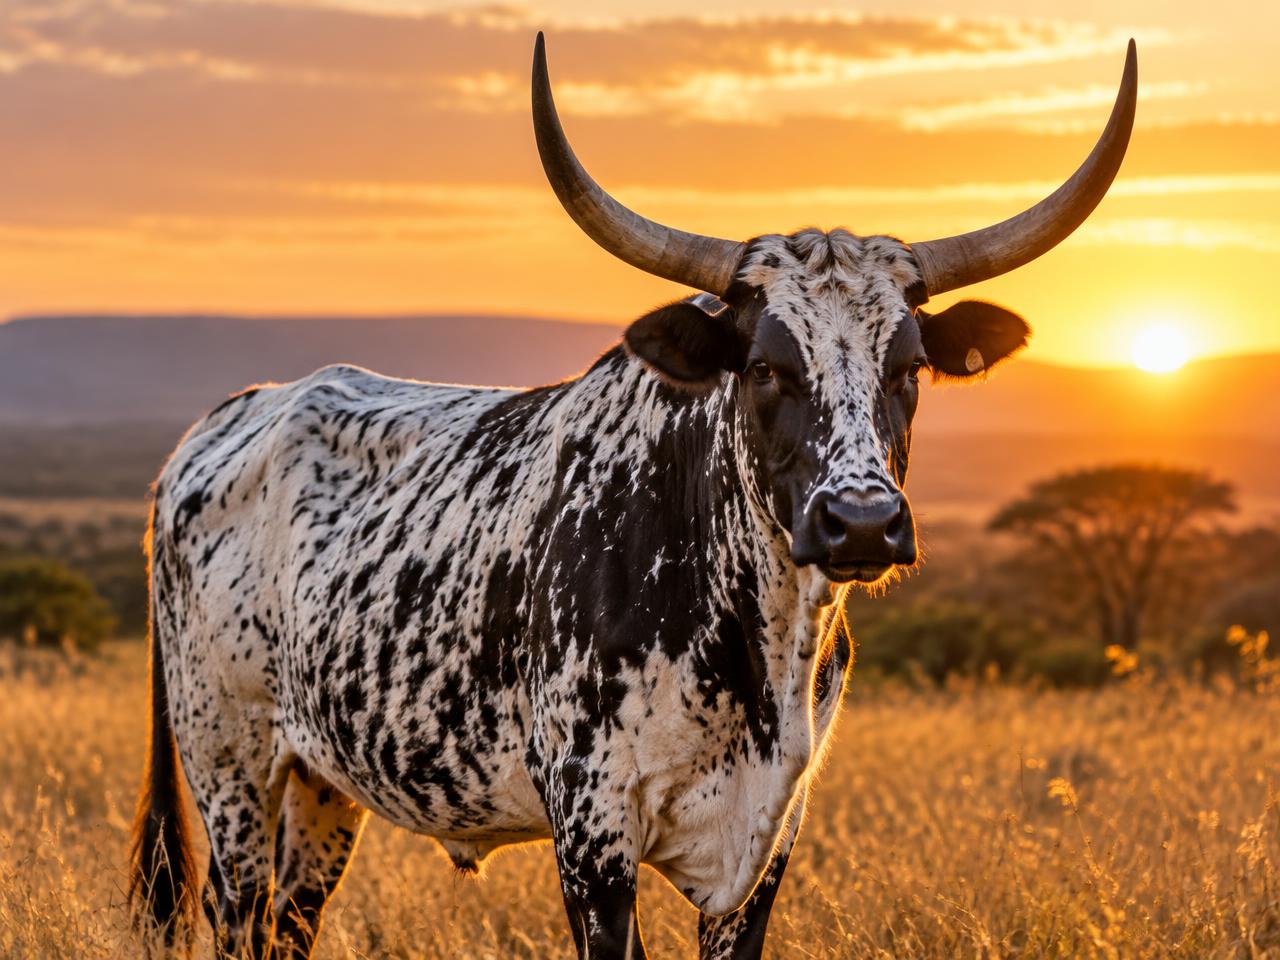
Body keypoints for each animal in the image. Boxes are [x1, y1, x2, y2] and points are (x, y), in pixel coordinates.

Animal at [129, 32, 1137, 960]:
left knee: (290, 927)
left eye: (911, 366)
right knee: (235, 916)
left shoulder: (766, 842)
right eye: (765, 366)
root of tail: (226, 420)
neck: (758, 647)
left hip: (322, 786)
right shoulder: (593, 833)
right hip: (229, 770)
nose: (860, 521)